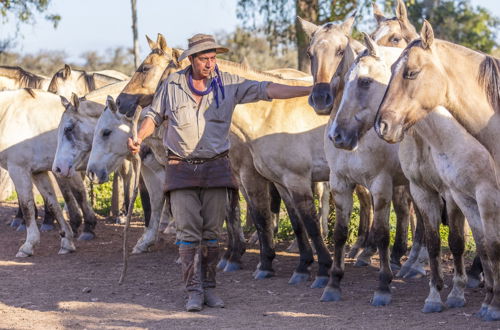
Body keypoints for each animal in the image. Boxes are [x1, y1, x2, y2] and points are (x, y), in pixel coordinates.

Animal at [376, 20, 500, 320]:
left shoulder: (484, 197)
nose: (381, 125)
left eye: (411, 72)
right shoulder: (462, 197)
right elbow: (484, 246)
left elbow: (490, 246)